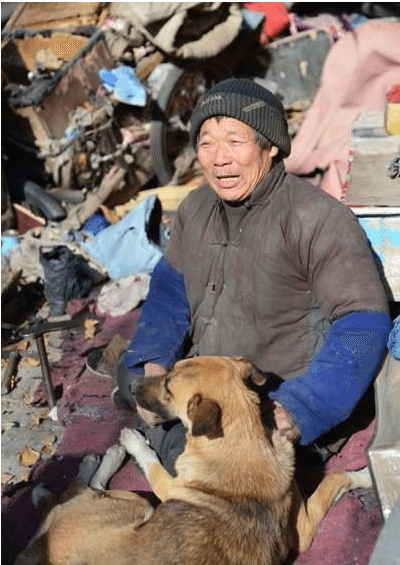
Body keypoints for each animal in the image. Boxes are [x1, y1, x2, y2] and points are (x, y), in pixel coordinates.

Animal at [15, 356, 372, 564]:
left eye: (169, 386)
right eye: (169, 370)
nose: (133, 383)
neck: (241, 440)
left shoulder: (167, 486)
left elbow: (151, 461)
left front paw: (134, 443)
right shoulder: (304, 526)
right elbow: (334, 478)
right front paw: (365, 475)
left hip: (135, 503)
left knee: (80, 489)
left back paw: (103, 456)